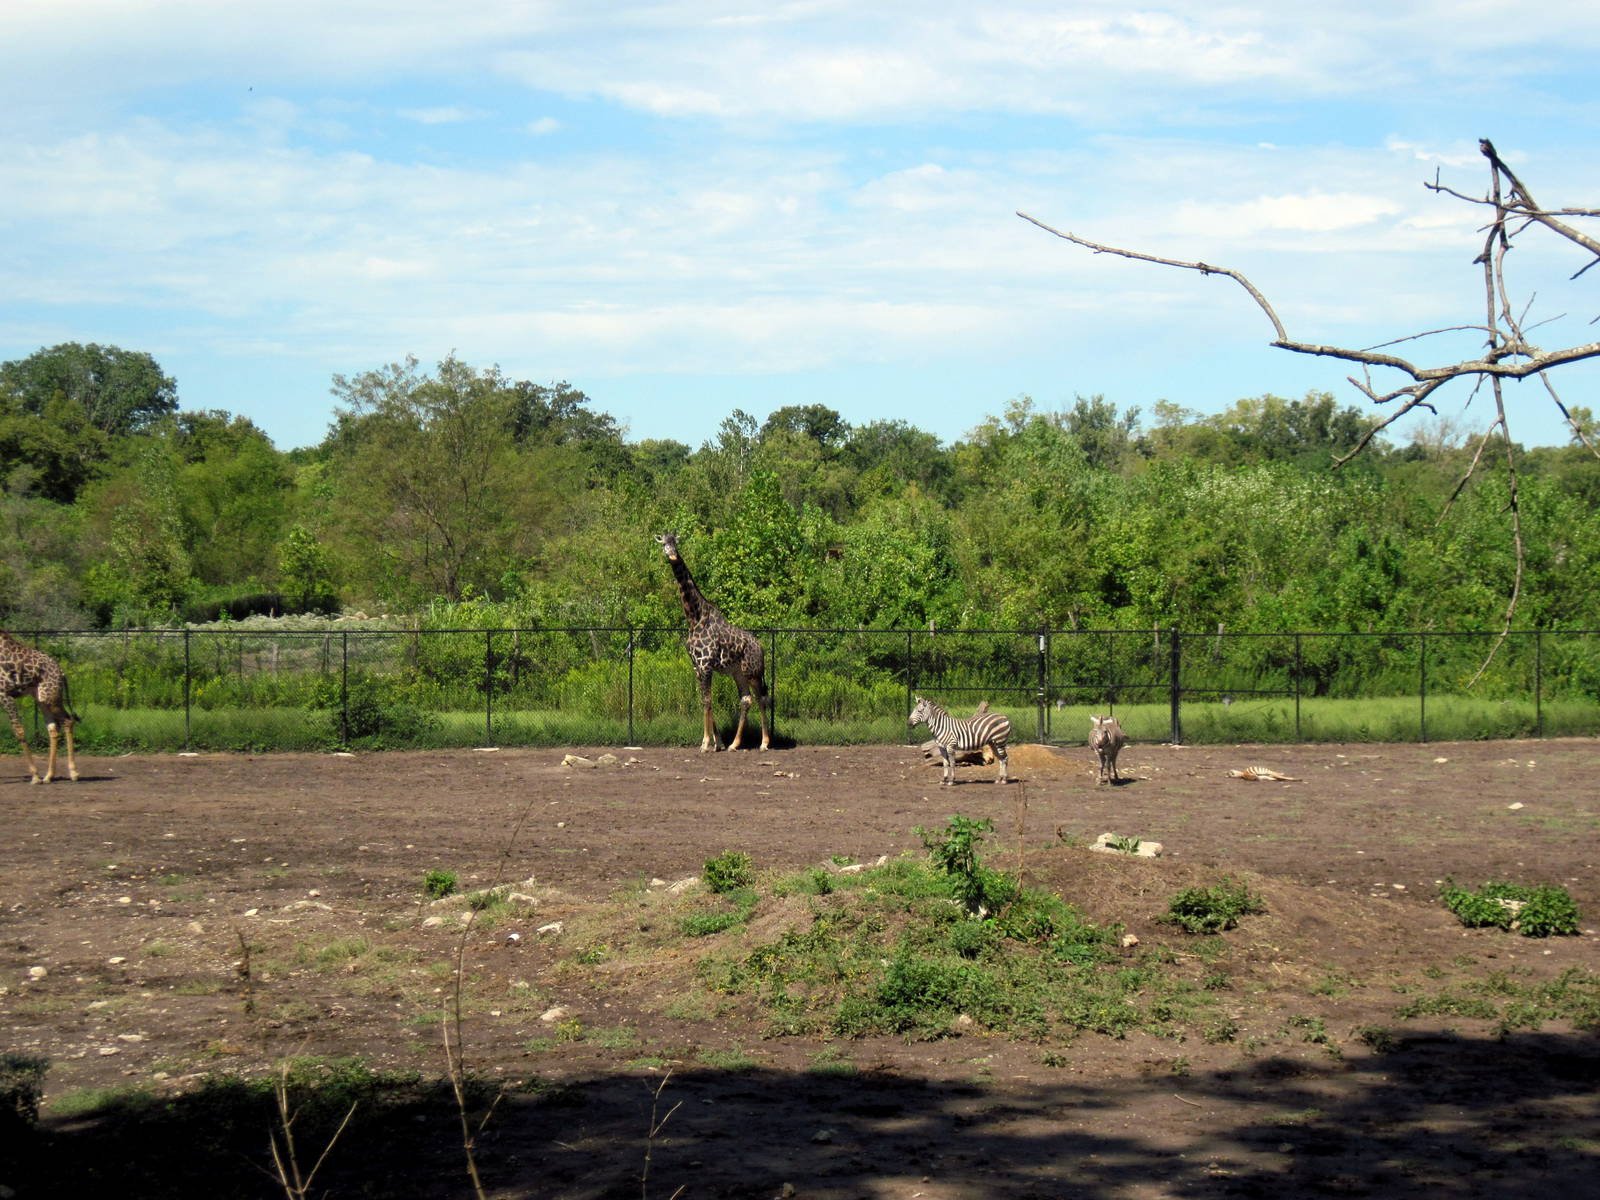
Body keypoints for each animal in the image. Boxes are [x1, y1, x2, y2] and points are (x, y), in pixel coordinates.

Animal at [0, 630, 80, 784]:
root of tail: (62, 673)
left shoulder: (5, 694)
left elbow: (19, 731)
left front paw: (35, 776)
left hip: (51, 698)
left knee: (67, 721)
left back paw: (73, 773)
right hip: (41, 699)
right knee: (53, 728)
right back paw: (49, 776)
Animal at [656, 532, 772, 752]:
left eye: (676, 543)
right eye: (664, 543)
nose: (673, 556)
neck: (694, 617)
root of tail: (761, 648)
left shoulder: (706, 664)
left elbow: (708, 701)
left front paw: (705, 743)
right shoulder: (697, 666)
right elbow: (705, 701)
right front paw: (719, 743)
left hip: (753, 672)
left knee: (762, 699)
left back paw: (764, 743)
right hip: (738, 673)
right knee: (746, 700)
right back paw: (734, 744)